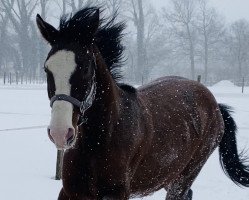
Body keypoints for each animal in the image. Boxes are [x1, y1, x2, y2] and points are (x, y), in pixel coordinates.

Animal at [36, 6, 249, 200]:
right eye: (47, 69)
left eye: (86, 68)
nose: (60, 133)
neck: (99, 140)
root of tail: (216, 106)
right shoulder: (70, 192)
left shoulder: (117, 194)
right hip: (168, 175)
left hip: (183, 177)